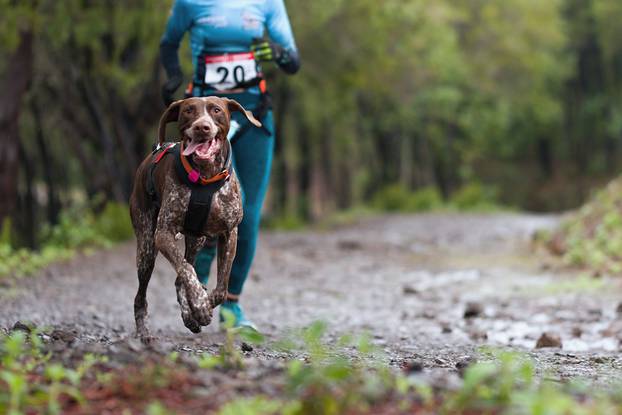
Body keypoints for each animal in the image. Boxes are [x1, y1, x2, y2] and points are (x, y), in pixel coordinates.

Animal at [129, 97, 260, 344]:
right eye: (189, 110)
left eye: (216, 110)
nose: (202, 127)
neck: (205, 177)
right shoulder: (163, 234)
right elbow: (187, 271)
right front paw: (200, 304)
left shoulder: (230, 233)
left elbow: (221, 287)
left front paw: (201, 307)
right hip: (147, 248)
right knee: (143, 294)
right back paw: (145, 332)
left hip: (197, 240)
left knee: (180, 277)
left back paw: (189, 316)